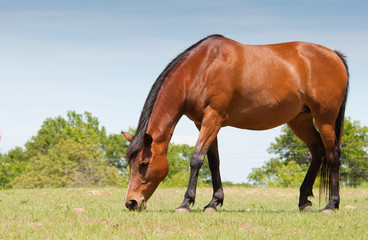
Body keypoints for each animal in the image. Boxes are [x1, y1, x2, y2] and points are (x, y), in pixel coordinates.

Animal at [122, 34, 350, 212]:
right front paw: (214, 203)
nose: (131, 202)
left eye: (144, 163)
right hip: (300, 120)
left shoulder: (213, 118)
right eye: (129, 163)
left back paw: (331, 205)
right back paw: (304, 201)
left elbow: (196, 158)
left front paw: (186, 203)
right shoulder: (203, 123)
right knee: (318, 152)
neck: (202, 68)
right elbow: (213, 162)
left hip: (325, 119)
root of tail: (334, 55)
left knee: (333, 155)